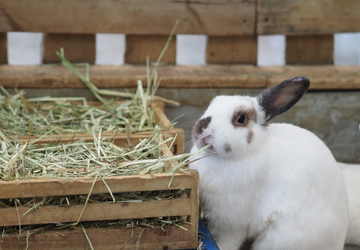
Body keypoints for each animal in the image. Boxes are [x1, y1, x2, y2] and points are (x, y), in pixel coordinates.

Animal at [188, 75, 348, 250]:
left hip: (279, 240)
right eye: (210, 105)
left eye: (241, 118)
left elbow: (225, 242)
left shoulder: (230, 223)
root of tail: (338, 242)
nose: (203, 130)